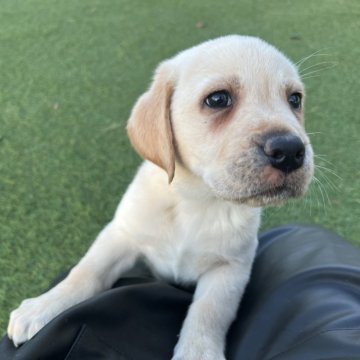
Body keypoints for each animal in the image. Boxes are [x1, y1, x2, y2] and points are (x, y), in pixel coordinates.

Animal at [7, 35, 312, 360]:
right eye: (218, 99)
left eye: (294, 100)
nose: (290, 150)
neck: (196, 201)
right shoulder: (121, 235)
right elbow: (85, 272)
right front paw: (44, 306)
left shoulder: (230, 268)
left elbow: (208, 313)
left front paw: (196, 354)